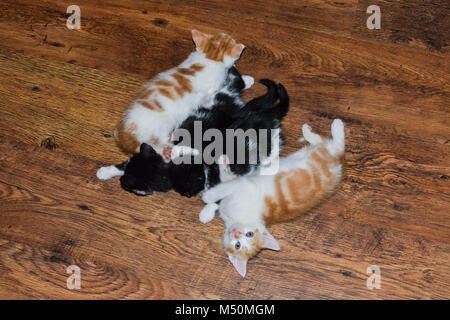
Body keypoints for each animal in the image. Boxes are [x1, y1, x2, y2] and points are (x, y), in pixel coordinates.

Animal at [112, 29, 246, 160]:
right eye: (232, 40)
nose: (231, 36)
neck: (210, 57)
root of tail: (124, 136)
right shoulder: (212, 92)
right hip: (163, 124)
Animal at [200, 120, 344, 278]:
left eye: (246, 237)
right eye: (238, 243)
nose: (236, 232)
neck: (235, 219)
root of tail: (336, 165)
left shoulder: (244, 185)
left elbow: (223, 187)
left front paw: (208, 196)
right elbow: (224, 187)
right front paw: (207, 211)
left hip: (323, 154)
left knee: (339, 146)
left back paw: (337, 127)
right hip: (306, 152)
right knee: (320, 141)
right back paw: (307, 132)